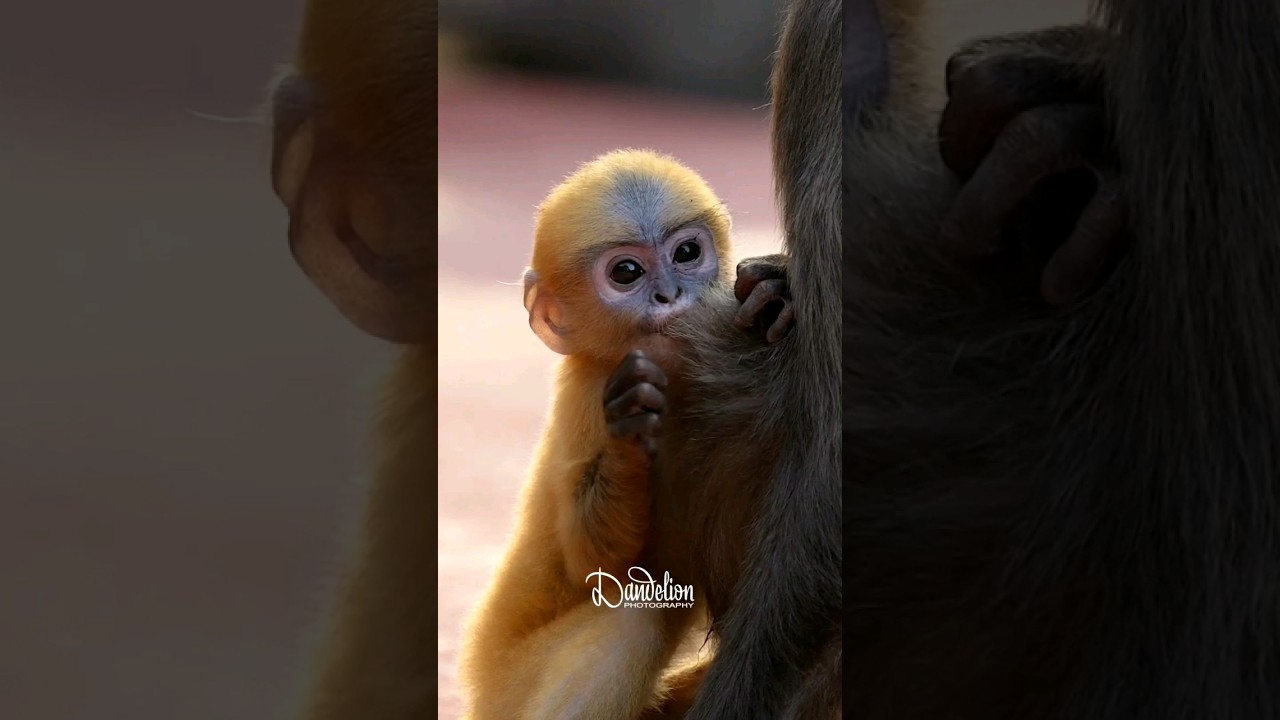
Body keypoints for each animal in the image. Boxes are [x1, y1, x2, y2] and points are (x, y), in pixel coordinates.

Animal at [455, 148, 794, 720]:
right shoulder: (589, 393)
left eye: (686, 253)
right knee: (630, 615)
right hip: (509, 688)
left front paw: (773, 288)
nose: (669, 293)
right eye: (627, 272)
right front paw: (630, 428)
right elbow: (598, 567)